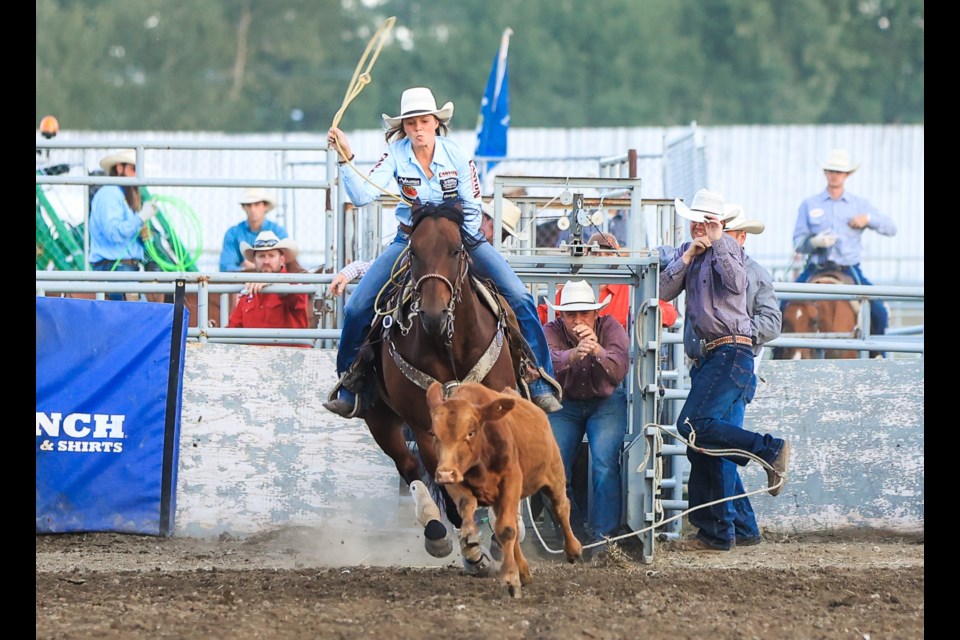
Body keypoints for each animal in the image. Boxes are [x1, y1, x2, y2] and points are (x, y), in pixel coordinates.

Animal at [428, 380, 584, 596]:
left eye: (471, 432)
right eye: (434, 434)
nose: (444, 474)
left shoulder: (512, 480)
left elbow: (507, 529)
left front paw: (510, 578)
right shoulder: (457, 480)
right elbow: (468, 505)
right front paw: (469, 535)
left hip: (554, 473)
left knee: (560, 508)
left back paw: (573, 550)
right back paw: (524, 572)